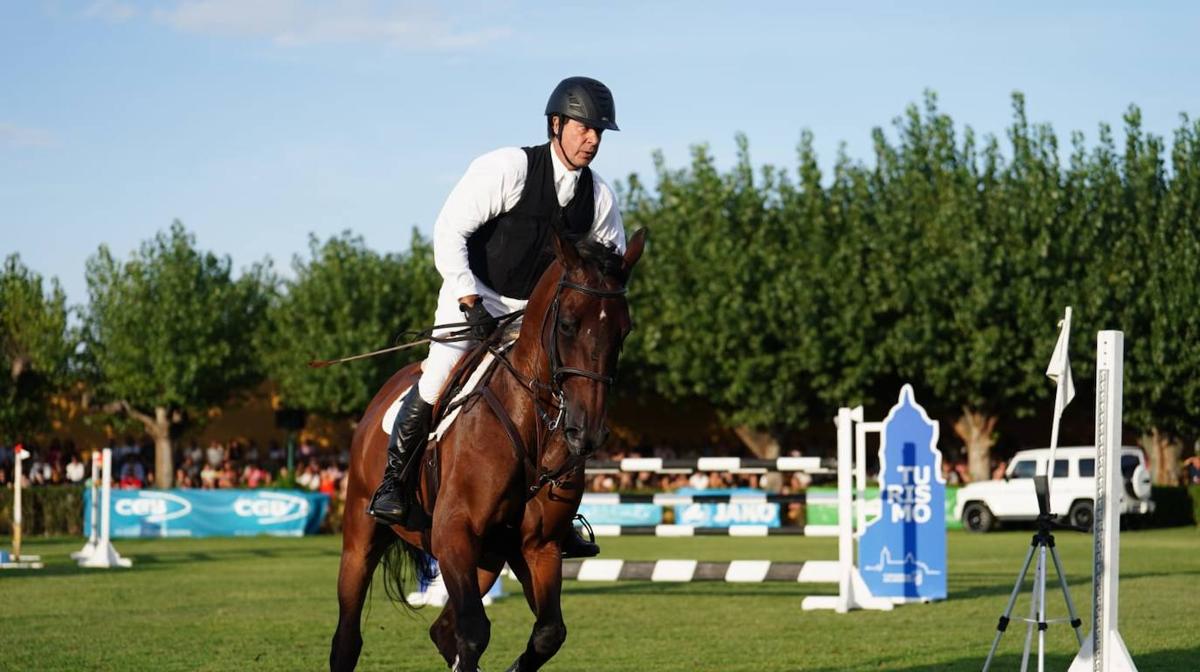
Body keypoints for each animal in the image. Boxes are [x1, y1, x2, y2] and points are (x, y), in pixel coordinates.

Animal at [328, 228, 648, 667]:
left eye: (625, 330)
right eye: (567, 325)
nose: (586, 433)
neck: (532, 424)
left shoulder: (539, 547)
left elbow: (548, 633)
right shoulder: (454, 534)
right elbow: (475, 632)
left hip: (489, 557)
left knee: (442, 629)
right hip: (363, 537)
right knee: (348, 636)